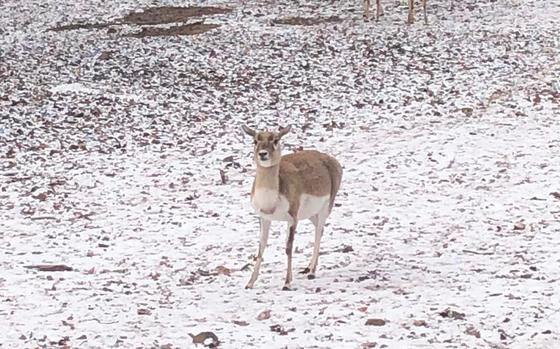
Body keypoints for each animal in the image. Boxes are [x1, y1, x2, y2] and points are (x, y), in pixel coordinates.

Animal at [243, 124, 344, 288]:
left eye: (275, 140)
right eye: (255, 140)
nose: (263, 154)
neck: (270, 201)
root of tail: (331, 160)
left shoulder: (292, 218)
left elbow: (288, 248)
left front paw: (287, 283)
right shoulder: (264, 218)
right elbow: (261, 247)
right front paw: (250, 283)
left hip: (326, 207)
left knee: (319, 231)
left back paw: (312, 272)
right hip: (310, 214)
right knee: (319, 228)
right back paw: (308, 267)